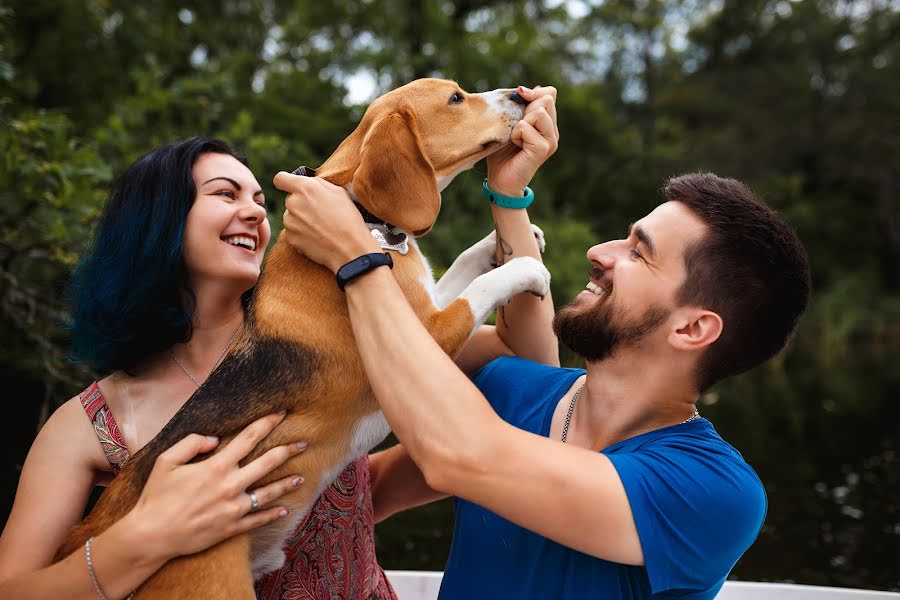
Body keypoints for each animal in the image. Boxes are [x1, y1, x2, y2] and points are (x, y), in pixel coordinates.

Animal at [58, 78, 548, 596]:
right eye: (455, 98)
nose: (520, 95)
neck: (361, 212)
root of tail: (95, 530)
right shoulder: (428, 332)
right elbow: (481, 289)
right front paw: (524, 267)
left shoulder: (423, 305)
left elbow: (463, 266)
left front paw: (503, 242)